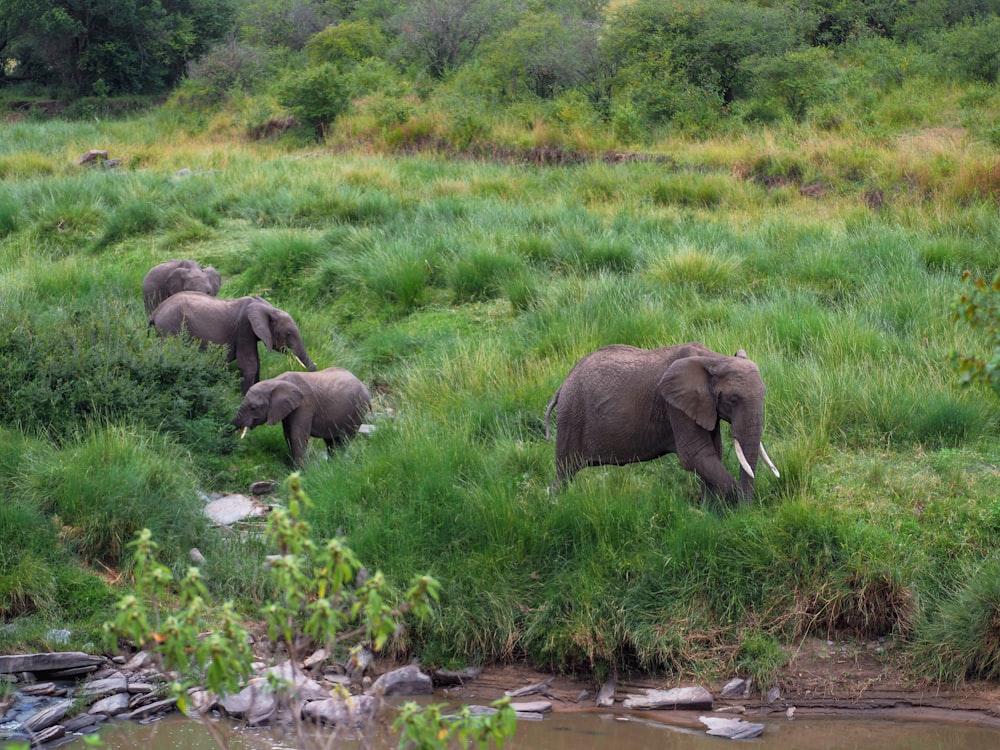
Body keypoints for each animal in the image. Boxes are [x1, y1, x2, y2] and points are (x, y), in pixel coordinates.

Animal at [149, 292, 316, 396]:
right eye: (288, 334)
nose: (315, 368)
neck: (268, 308)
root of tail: (155, 313)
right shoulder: (244, 328)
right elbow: (249, 364)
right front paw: (243, 398)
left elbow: (256, 363)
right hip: (170, 327)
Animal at [230, 368, 372, 468]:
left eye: (253, 408)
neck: (275, 381)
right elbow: (288, 434)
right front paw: (294, 469)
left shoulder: (305, 405)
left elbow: (297, 435)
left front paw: (301, 471)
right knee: (331, 441)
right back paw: (331, 466)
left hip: (358, 410)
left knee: (344, 440)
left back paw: (337, 465)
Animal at [548, 344, 780, 508]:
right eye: (733, 400)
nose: (747, 512)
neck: (715, 359)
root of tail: (562, 386)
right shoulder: (675, 406)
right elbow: (695, 455)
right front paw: (732, 504)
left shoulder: (702, 406)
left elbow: (713, 453)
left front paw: (708, 512)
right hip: (571, 416)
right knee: (565, 471)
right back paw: (557, 506)